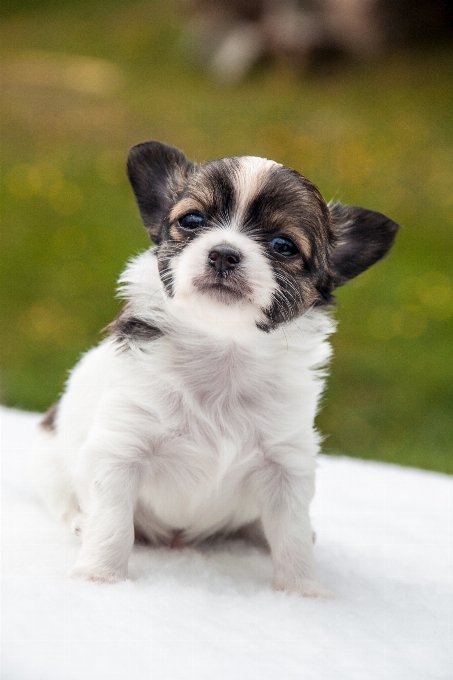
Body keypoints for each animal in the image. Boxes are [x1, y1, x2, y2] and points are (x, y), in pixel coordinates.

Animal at [32, 142, 400, 596]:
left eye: (283, 245)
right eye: (192, 221)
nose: (224, 252)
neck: (223, 350)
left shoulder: (286, 466)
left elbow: (292, 536)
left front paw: (303, 592)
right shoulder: (121, 451)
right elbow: (112, 524)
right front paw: (100, 577)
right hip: (50, 461)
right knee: (66, 503)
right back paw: (79, 524)